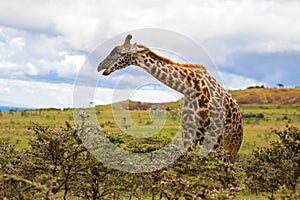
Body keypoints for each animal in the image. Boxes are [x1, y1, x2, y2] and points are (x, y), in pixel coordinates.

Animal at [97, 34, 243, 162]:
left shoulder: (214, 138)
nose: (100, 66)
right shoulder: (188, 136)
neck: (192, 89)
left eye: (122, 53)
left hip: (232, 142)